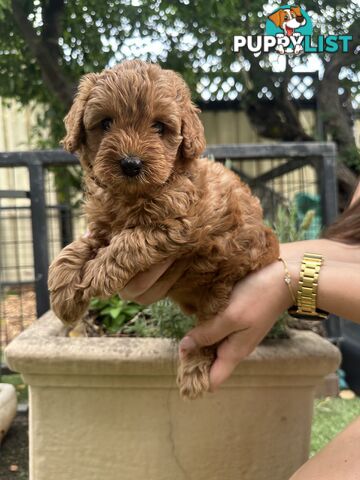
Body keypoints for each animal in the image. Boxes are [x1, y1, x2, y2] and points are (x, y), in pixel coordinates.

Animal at [47, 59, 278, 398]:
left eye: (159, 126)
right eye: (105, 123)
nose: (131, 164)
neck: (132, 195)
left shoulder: (175, 226)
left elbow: (129, 241)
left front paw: (98, 273)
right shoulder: (103, 227)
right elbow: (75, 249)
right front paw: (64, 293)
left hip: (221, 296)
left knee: (209, 338)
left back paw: (194, 371)